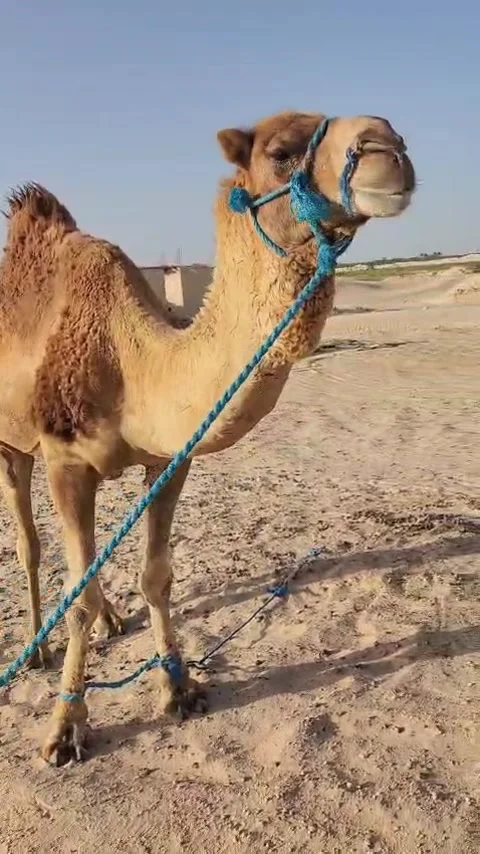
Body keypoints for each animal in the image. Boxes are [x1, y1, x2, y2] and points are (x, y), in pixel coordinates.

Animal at [0, 109, 415, 764]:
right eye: (281, 151)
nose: (389, 148)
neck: (132, 365)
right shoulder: (66, 461)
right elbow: (78, 596)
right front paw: (66, 727)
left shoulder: (169, 458)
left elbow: (156, 576)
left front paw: (178, 687)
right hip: (13, 446)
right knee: (32, 544)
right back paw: (37, 648)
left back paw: (113, 621)